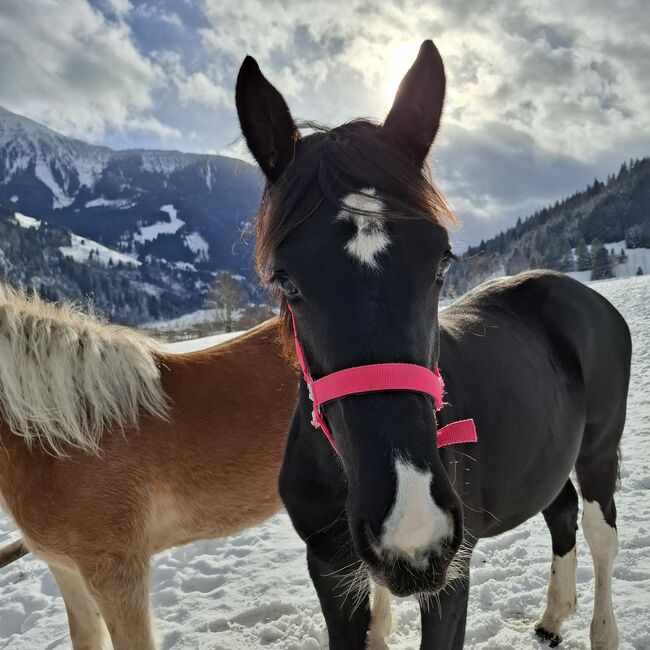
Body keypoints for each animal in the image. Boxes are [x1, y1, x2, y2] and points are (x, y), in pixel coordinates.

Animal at [235, 41, 632, 648]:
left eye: (442, 261)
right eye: (287, 281)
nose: (412, 531)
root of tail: (584, 297)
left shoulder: (450, 579)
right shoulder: (331, 573)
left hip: (598, 451)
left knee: (599, 534)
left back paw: (601, 630)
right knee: (560, 513)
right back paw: (552, 617)